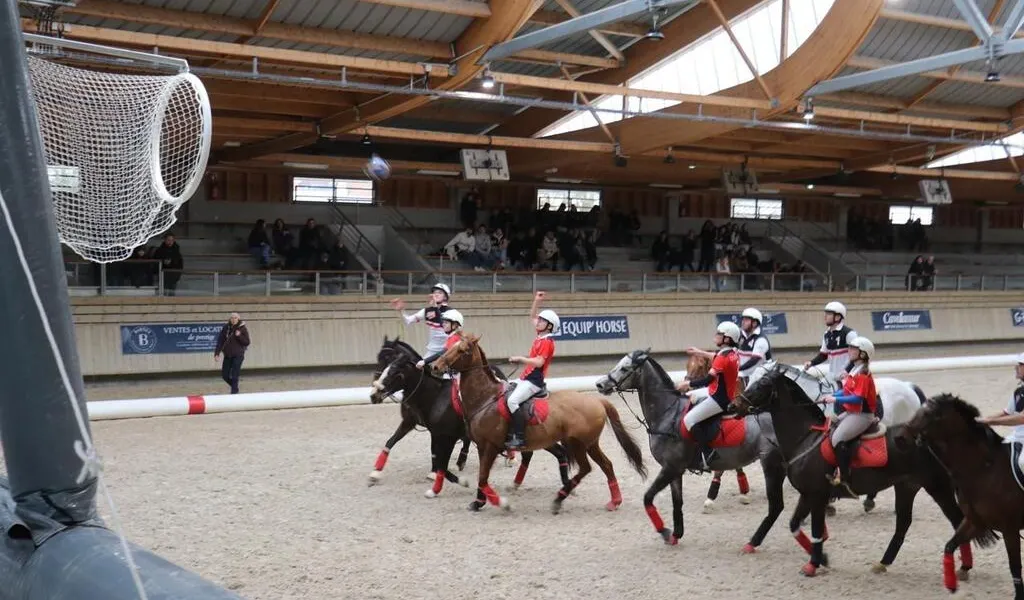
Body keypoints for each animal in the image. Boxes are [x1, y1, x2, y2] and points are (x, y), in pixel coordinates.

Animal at [369, 337, 571, 497]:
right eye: (383, 362)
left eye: (395, 371)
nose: (374, 394)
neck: (434, 394)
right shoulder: (415, 424)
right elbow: (391, 442)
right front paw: (375, 473)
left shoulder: (446, 434)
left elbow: (440, 461)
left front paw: (454, 481)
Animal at [430, 333, 647, 513]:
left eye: (461, 350)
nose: (435, 366)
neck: (485, 398)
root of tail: (597, 401)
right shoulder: (483, 447)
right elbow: (482, 478)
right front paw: (478, 502)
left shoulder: (491, 446)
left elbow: (483, 478)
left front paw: (503, 504)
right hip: (590, 443)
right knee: (607, 465)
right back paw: (614, 501)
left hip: (578, 444)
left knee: (586, 468)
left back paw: (559, 499)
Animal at [735, 364, 975, 577]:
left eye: (761, 384)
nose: (733, 406)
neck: (805, 437)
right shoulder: (807, 494)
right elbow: (795, 525)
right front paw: (823, 559)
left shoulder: (817, 495)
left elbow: (815, 531)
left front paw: (813, 565)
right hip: (907, 487)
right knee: (903, 524)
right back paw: (883, 563)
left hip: (938, 486)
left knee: (957, 520)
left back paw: (964, 567)